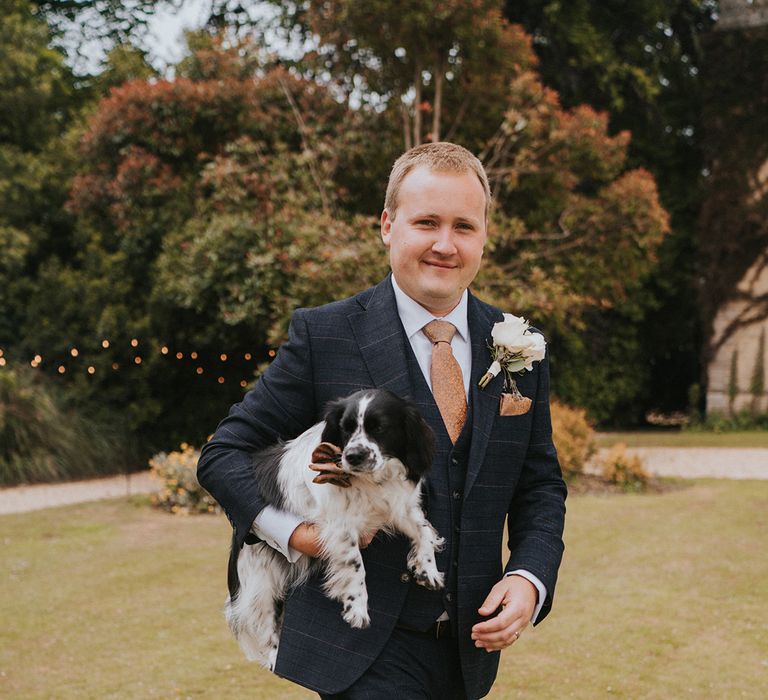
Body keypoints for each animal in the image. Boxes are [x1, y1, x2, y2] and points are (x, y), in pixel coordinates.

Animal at [225, 388, 444, 668]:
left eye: (380, 427)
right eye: (345, 428)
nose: (353, 456)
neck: (372, 481)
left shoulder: (398, 506)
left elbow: (424, 529)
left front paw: (427, 569)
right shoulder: (340, 527)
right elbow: (355, 565)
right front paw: (356, 608)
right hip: (259, 581)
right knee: (265, 623)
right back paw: (274, 657)